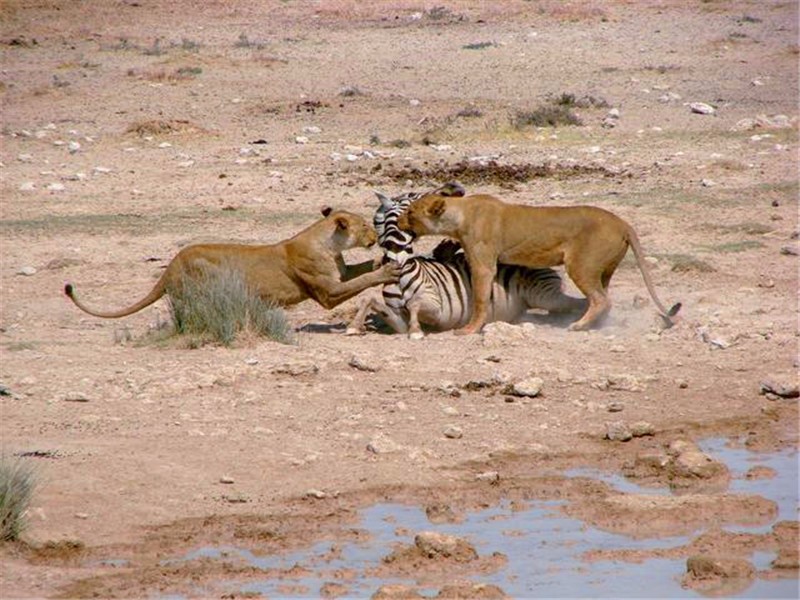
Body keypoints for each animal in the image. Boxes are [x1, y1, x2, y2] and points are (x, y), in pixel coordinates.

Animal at [346, 188, 588, 338]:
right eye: (413, 196)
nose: (456, 191)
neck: (401, 269)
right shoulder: (398, 319)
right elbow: (371, 300)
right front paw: (354, 326)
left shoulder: (437, 308)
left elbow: (414, 304)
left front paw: (416, 331)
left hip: (543, 295)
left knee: (576, 303)